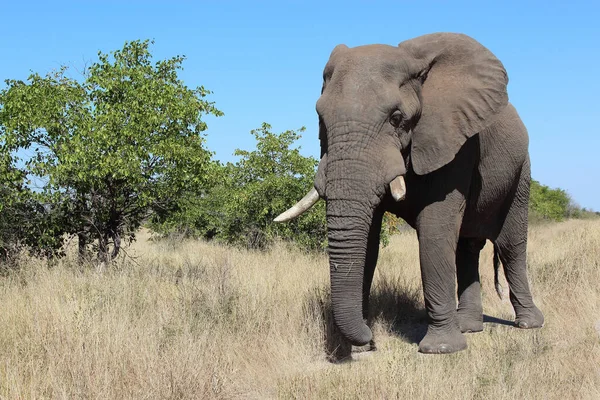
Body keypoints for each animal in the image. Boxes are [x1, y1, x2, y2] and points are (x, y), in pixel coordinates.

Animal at [276, 32, 544, 354]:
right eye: (320, 119)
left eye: (396, 118)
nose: (371, 337)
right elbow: (369, 242)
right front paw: (361, 349)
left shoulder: (453, 142)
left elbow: (435, 232)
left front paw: (440, 350)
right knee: (467, 248)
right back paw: (469, 327)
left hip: (521, 171)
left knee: (511, 246)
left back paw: (528, 324)